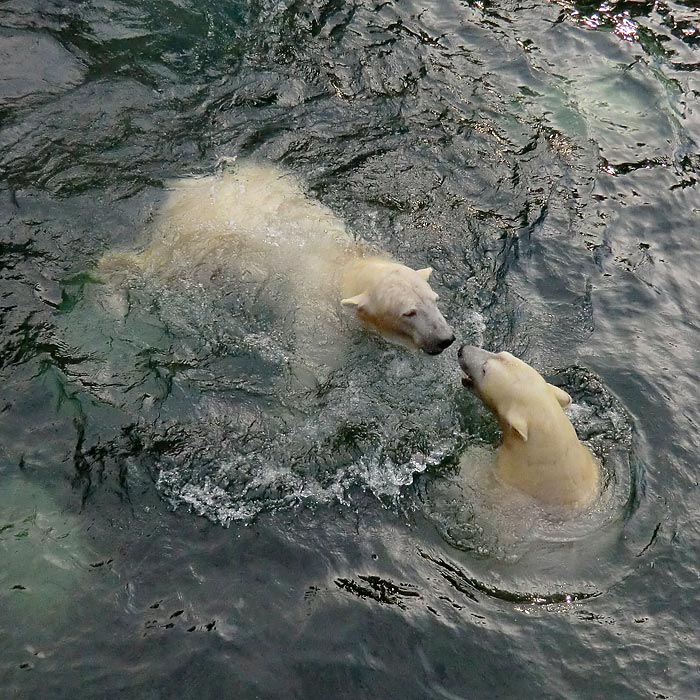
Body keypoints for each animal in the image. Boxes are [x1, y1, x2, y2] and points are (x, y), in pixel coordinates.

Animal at [101, 159, 456, 356]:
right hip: (190, 247)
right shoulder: (319, 311)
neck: (347, 265)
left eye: (434, 300)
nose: (445, 339)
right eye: (408, 312)